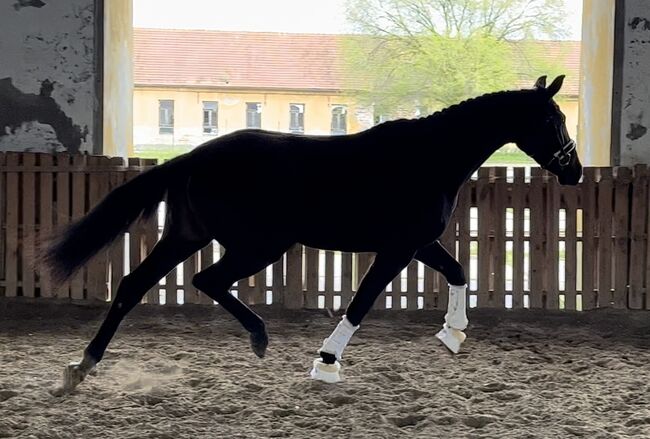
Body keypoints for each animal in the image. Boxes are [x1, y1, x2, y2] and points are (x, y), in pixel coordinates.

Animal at [48, 75, 580, 392]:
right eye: (553, 119)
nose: (573, 171)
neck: (428, 159)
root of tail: (193, 158)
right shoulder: (397, 249)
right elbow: (361, 303)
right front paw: (326, 363)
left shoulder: (417, 244)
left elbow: (457, 270)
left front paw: (452, 333)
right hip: (259, 244)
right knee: (205, 280)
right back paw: (258, 336)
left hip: (188, 235)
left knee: (134, 285)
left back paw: (80, 369)